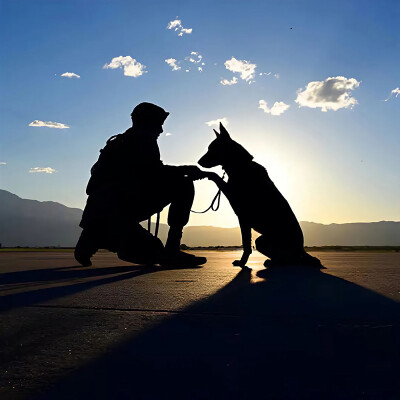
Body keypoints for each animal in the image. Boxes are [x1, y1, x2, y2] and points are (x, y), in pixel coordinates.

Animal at [198, 123, 320, 268]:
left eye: (212, 149)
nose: (198, 162)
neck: (241, 165)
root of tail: (301, 248)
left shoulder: (241, 214)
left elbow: (246, 244)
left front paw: (242, 262)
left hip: (266, 241)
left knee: (293, 260)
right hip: (261, 241)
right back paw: (272, 262)